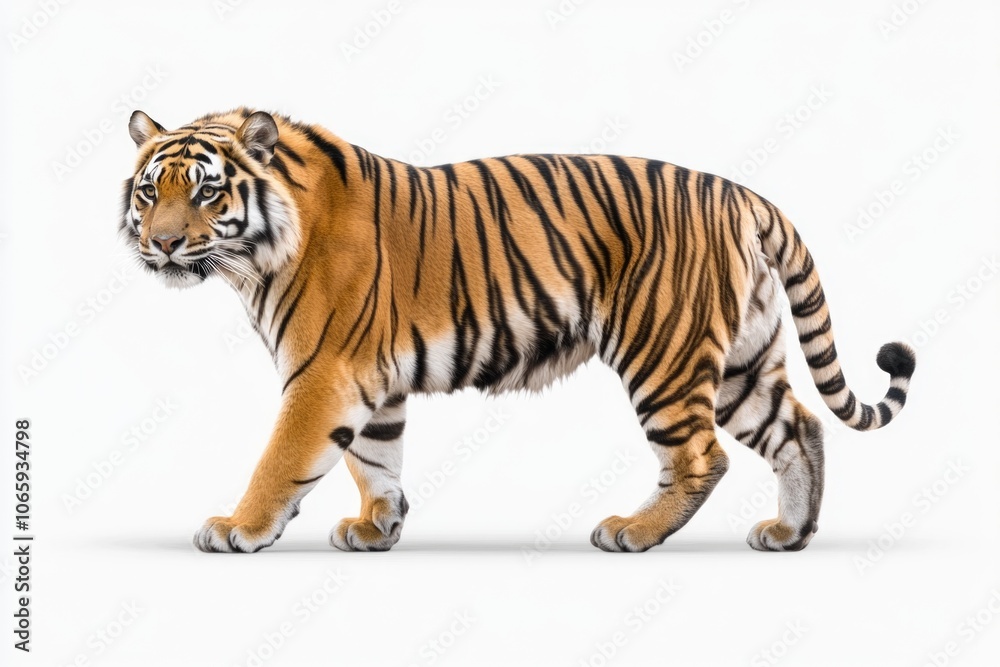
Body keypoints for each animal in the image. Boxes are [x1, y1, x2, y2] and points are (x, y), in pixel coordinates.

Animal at [120, 107, 916, 554]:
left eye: (206, 191)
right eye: (149, 190)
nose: (161, 245)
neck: (257, 257)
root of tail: (743, 194)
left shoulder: (322, 374)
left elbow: (282, 459)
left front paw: (238, 527)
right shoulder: (371, 380)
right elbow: (376, 459)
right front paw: (378, 528)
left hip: (664, 353)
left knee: (702, 457)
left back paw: (633, 531)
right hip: (744, 363)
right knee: (801, 427)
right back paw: (790, 535)